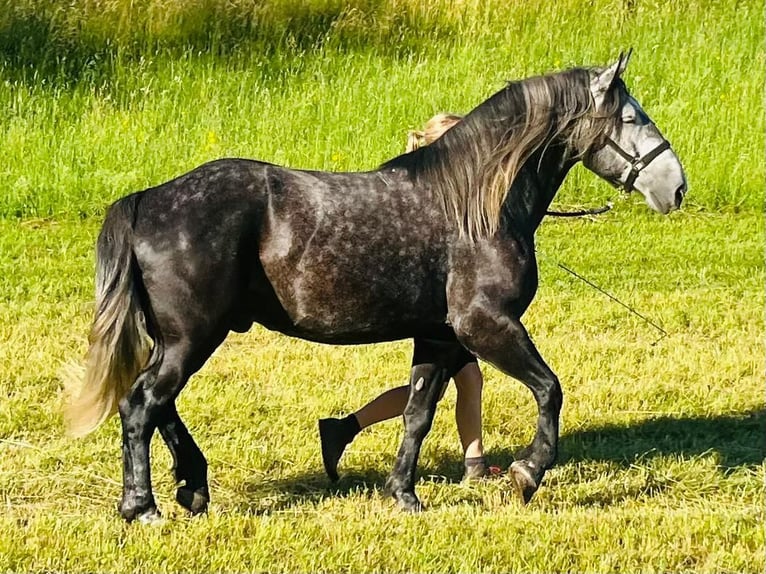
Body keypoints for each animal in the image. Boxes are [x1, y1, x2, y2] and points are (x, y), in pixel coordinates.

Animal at [66, 52, 687, 523]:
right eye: (630, 116)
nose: (675, 187)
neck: (472, 206)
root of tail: (147, 199)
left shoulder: (439, 338)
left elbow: (418, 413)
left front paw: (404, 495)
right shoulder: (484, 326)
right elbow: (549, 389)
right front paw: (526, 474)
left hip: (181, 338)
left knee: (158, 405)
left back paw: (192, 486)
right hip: (192, 337)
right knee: (142, 404)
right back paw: (143, 506)